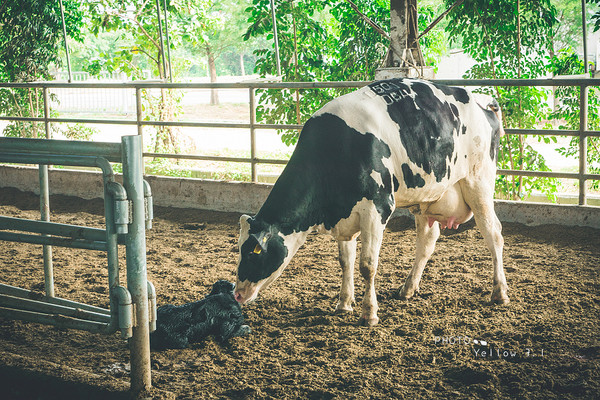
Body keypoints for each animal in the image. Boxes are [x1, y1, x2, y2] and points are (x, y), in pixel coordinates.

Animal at [232, 77, 508, 324]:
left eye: (254, 252)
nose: (237, 294)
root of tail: (481, 99)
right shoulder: (344, 215)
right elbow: (346, 262)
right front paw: (344, 304)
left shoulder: (377, 208)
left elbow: (367, 265)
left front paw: (369, 313)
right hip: (426, 196)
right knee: (427, 241)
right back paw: (408, 288)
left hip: (479, 183)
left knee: (493, 233)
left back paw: (500, 292)